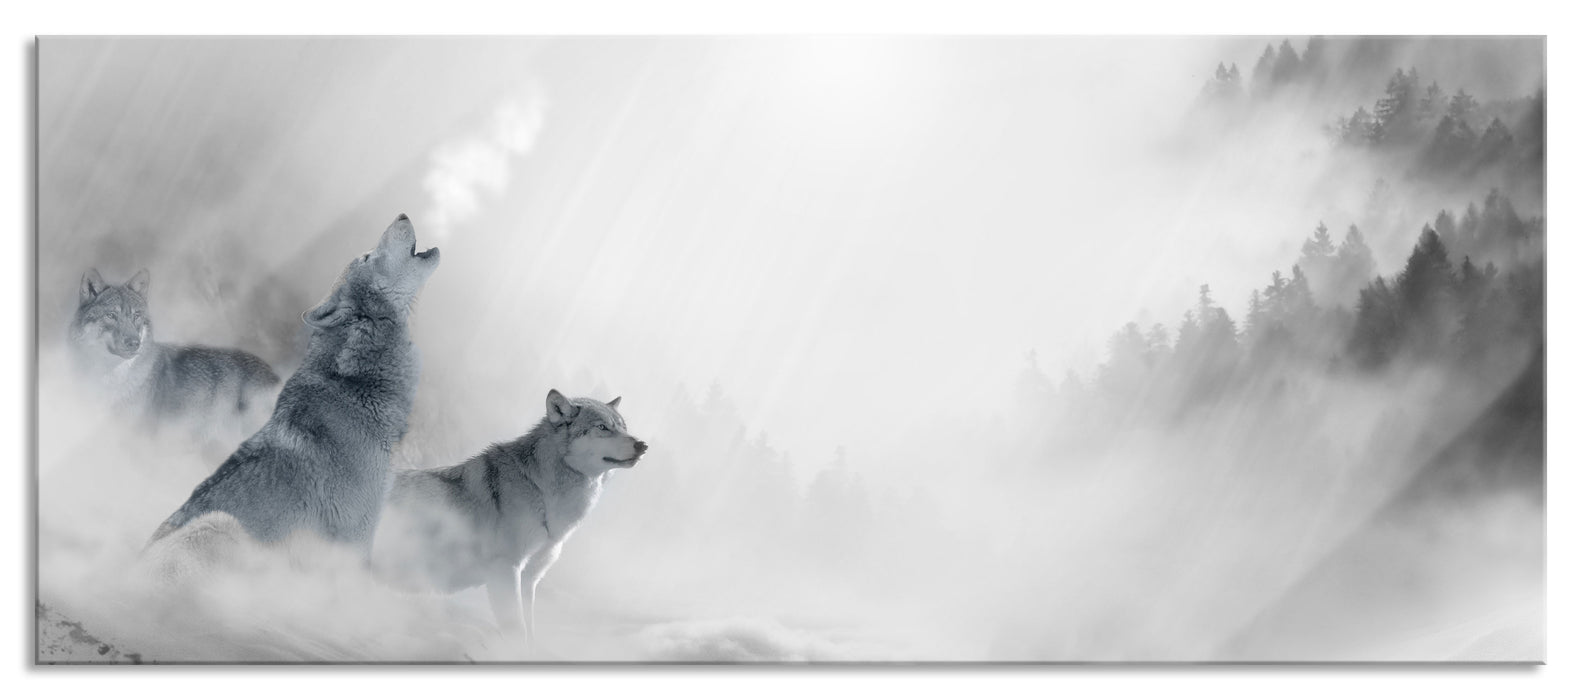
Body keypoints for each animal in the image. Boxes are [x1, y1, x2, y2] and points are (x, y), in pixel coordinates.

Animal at [371, 389, 648, 646]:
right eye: (603, 427)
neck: (541, 490)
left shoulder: (529, 580)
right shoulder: (505, 572)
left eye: (623, 427)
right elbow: (518, 631)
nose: (642, 445)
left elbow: (530, 633)